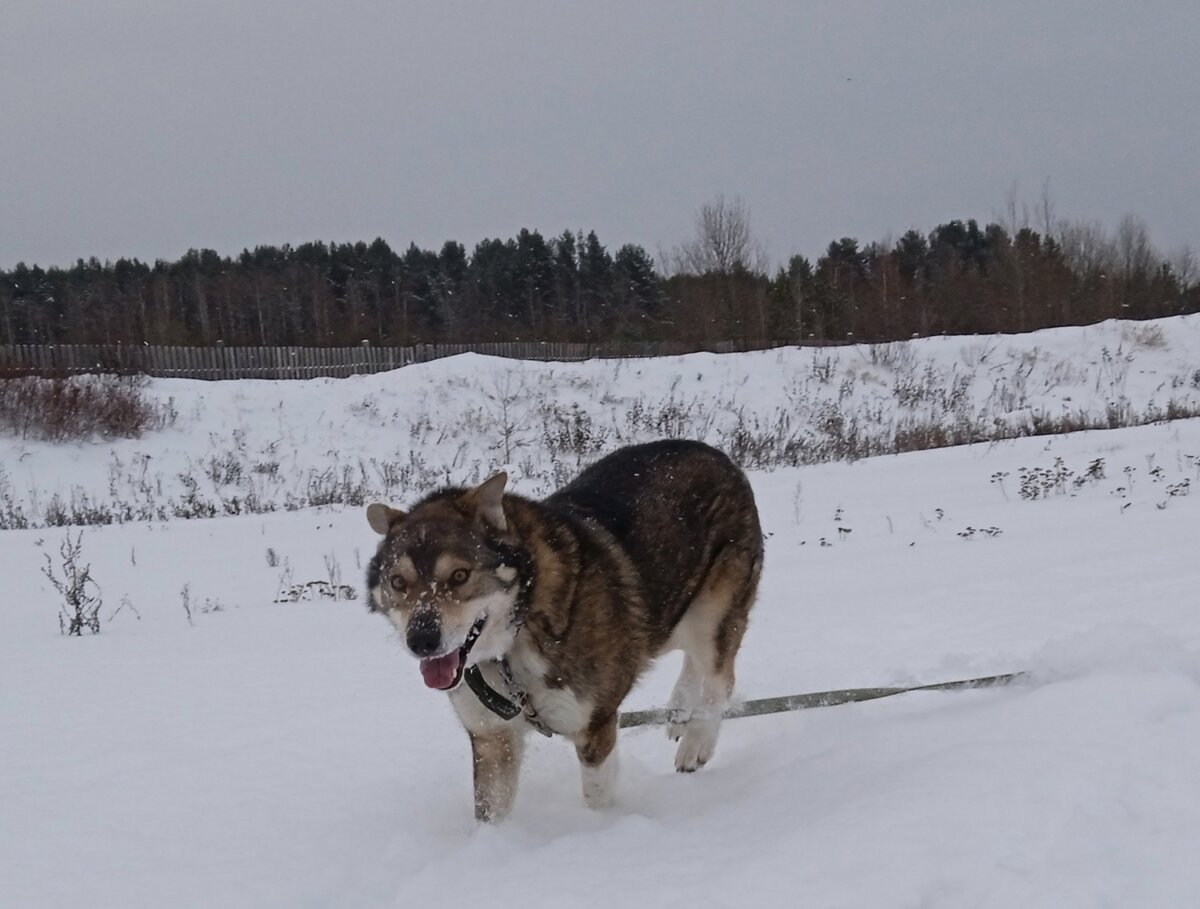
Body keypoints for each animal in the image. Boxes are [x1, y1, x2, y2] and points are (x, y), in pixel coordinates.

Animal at [360, 441, 763, 825]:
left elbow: (596, 797)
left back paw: (696, 742)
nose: (422, 641)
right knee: (688, 656)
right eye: (398, 583)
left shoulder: (595, 726)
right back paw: (679, 710)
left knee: (719, 676)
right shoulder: (492, 739)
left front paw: (598, 830)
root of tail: (720, 457)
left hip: (713, 611)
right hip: (668, 613)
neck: (515, 639)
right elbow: (490, 813)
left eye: (459, 575)